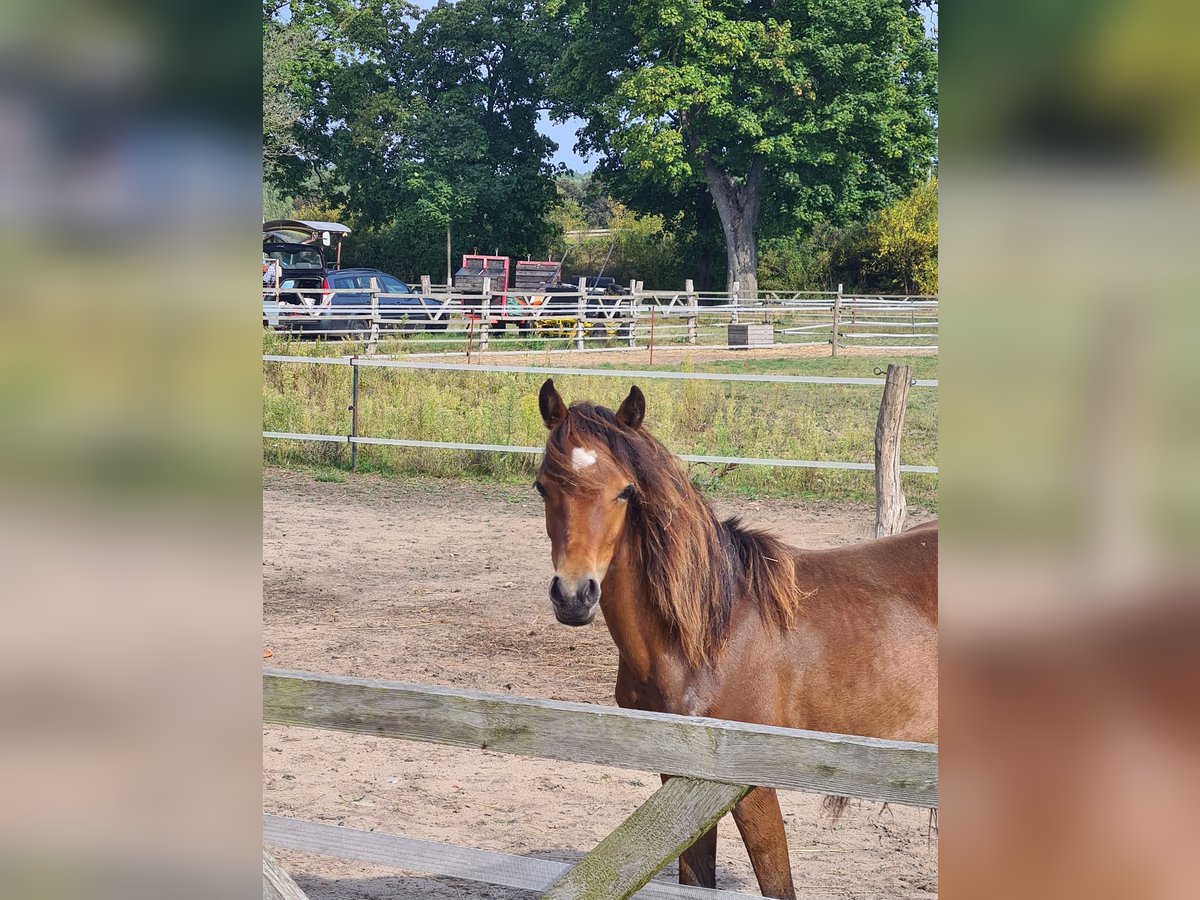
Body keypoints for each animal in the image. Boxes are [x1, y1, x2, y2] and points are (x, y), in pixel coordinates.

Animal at [535, 381, 936, 900]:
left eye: (625, 490)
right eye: (542, 486)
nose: (573, 595)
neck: (710, 636)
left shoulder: (749, 783)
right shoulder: (682, 780)